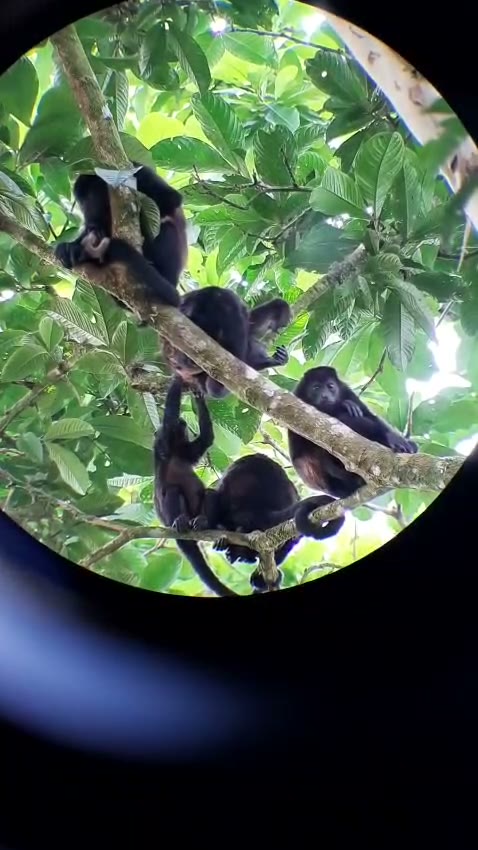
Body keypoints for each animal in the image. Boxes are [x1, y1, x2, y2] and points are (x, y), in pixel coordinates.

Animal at [54, 164, 185, 308]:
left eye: (92, 197)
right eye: (83, 202)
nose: (87, 209)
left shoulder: (139, 172)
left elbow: (171, 198)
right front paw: (71, 247)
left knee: (166, 228)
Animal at [153, 377, 237, 597]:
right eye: (181, 424)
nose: (183, 422)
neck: (176, 449)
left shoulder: (188, 450)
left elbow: (206, 437)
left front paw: (198, 395)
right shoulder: (163, 443)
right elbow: (169, 417)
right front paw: (178, 379)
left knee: (209, 493)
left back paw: (204, 522)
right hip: (170, 519)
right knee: (172, 491)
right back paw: (180, 521)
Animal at [288, 366, 418, 499]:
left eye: (330, 386)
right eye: (316, 388)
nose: (325, 396)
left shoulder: (347, 391)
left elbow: (370, 416)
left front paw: (395, 438)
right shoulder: (297, 395)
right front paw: (344, 405)